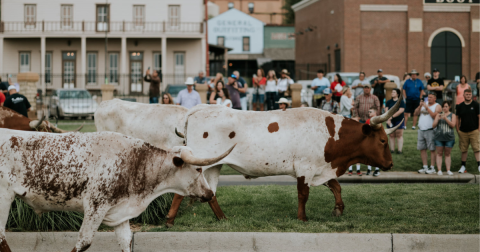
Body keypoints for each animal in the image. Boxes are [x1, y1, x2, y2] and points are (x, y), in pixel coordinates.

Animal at [0, 129, 234, 251]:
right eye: (198, 168)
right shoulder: (95, 206)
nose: (209, 194)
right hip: (4, 196)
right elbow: (84, 241)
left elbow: (126, 241)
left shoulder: (120, 212)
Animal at [167, 97, 404, 225]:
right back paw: (170, 220)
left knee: (211, 194)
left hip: (214, 165)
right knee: (182, 191)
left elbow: (336, 186)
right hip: (201, 161)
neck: (330, 133)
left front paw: (338, 209)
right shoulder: (306, 168)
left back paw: (223, 219)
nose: (390, 165)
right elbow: (303, 194)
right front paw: (302, 219)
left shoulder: (321, 167)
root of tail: (199, 109)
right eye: (383, 140)